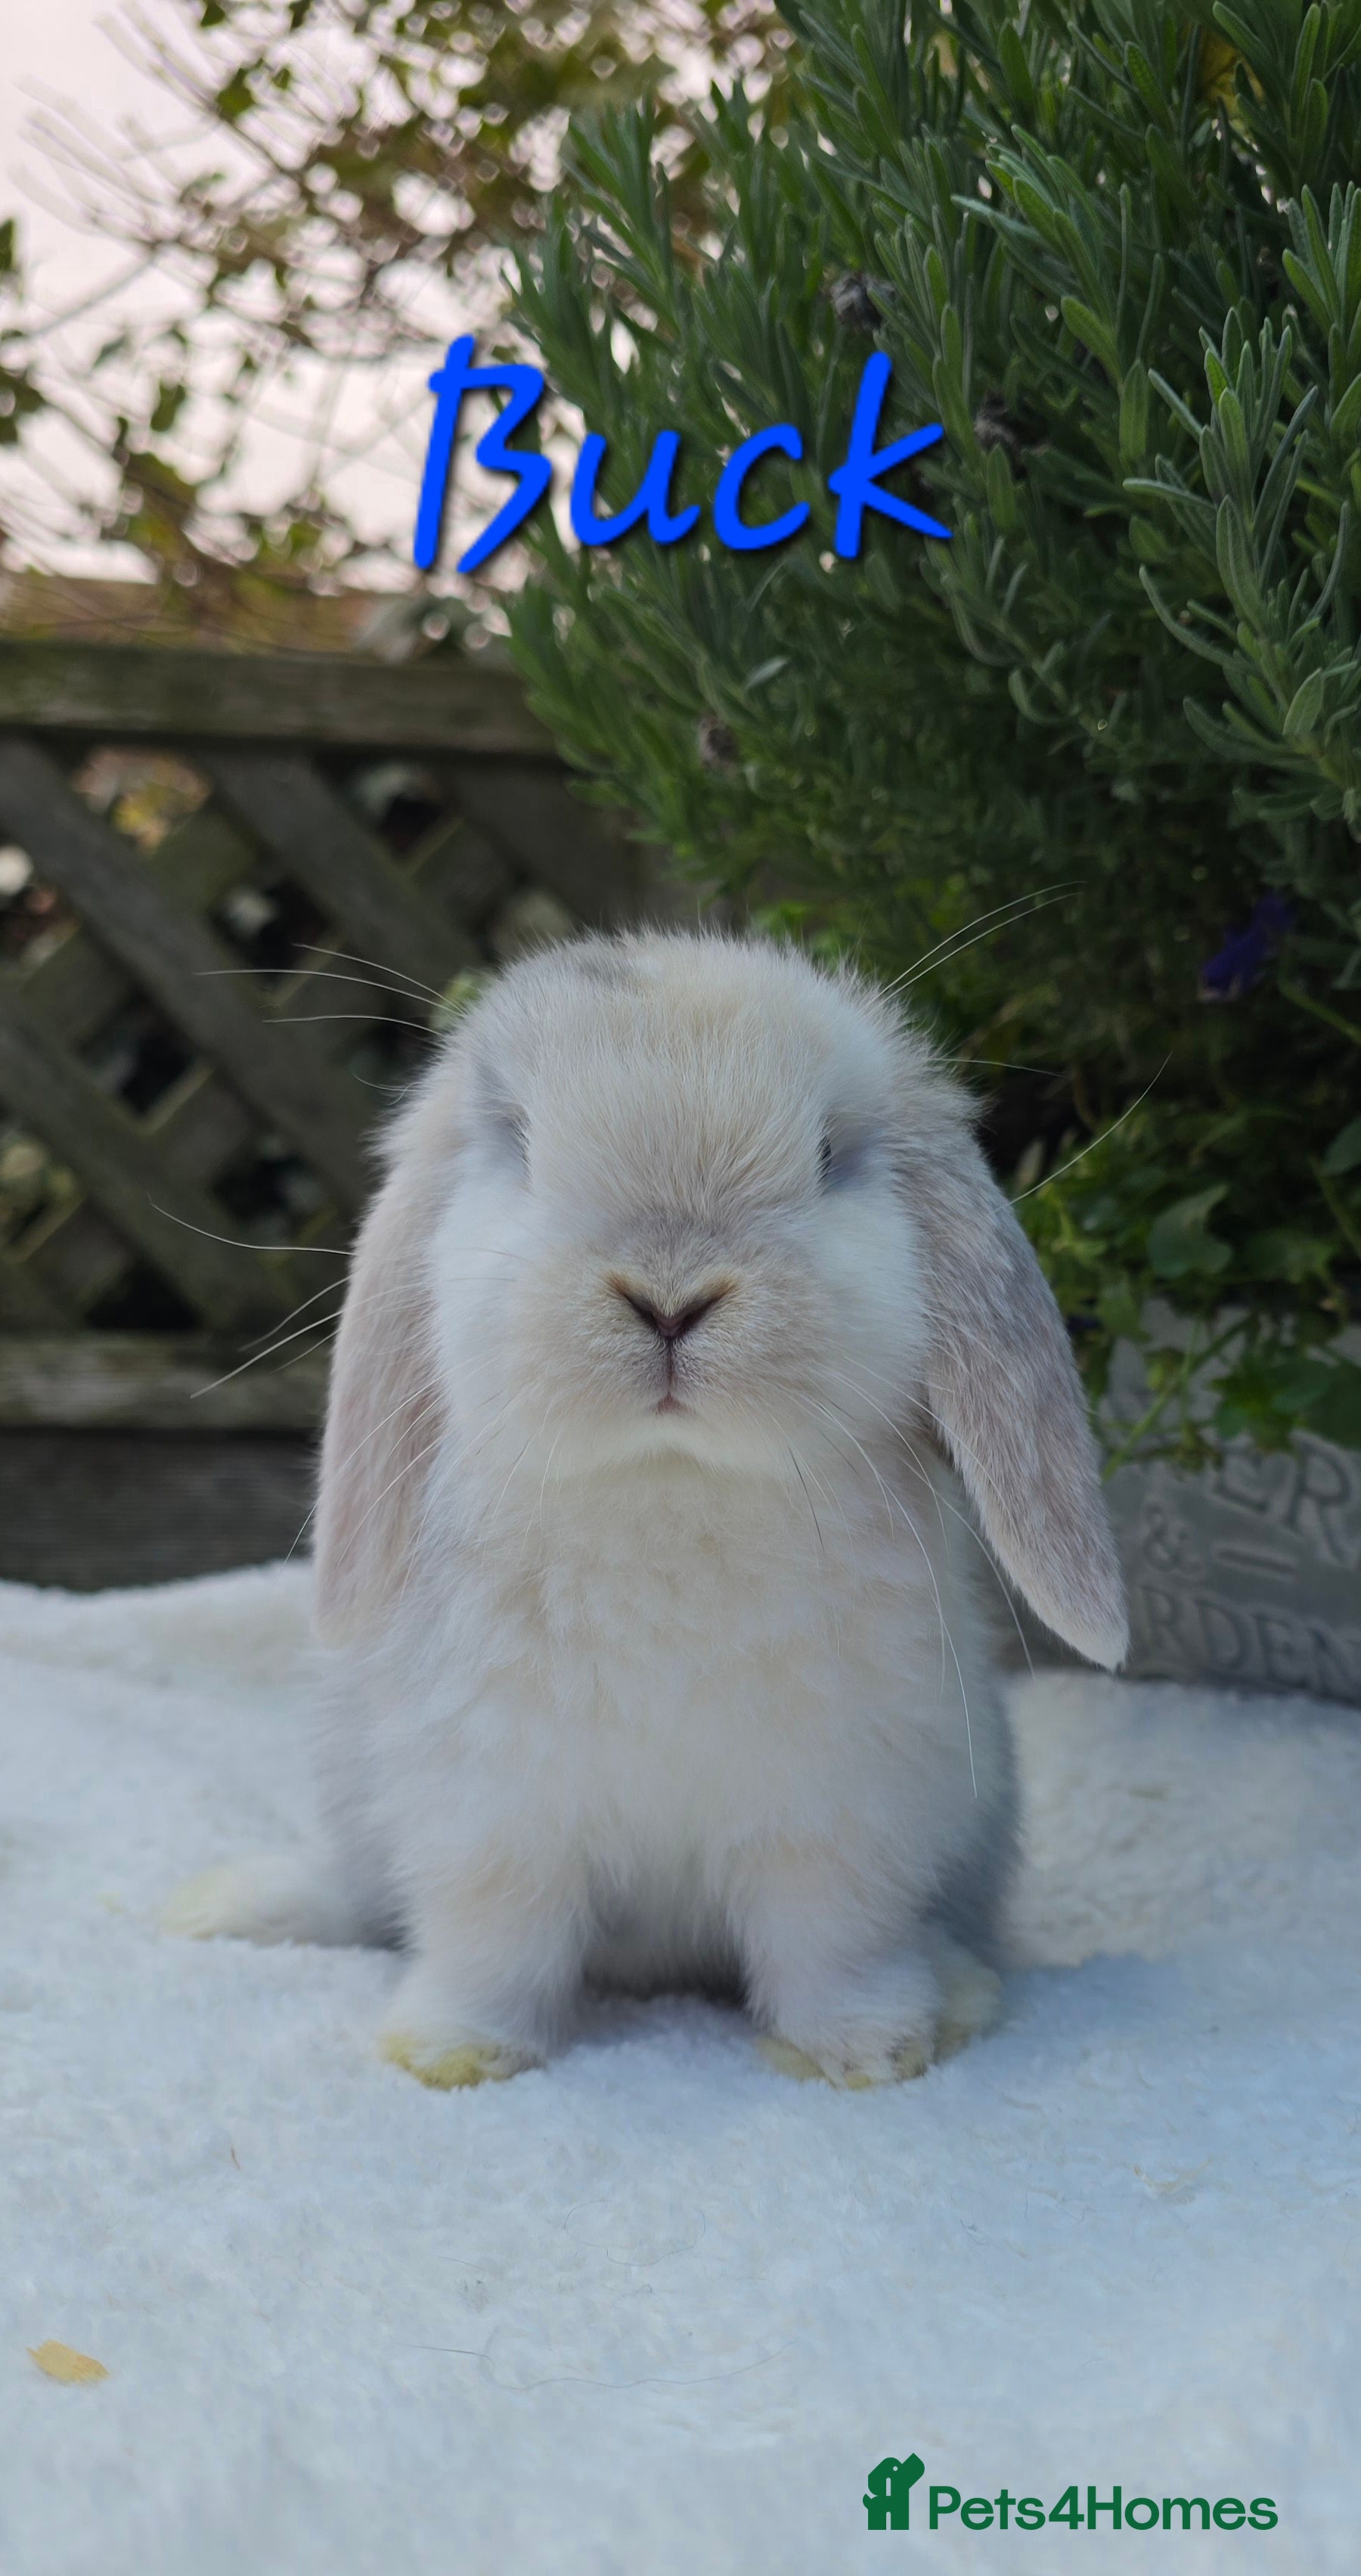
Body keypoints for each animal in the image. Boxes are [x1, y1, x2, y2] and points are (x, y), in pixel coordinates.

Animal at [166, 929, 1127, 2089]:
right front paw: (451, 2052)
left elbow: (833, 1942)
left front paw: (867, 2052)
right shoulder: (493, 1813)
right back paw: (225, 1904)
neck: (668, 1485)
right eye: (522, 1144)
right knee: (359, 1897)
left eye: (828, 1154)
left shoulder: (838, 1820)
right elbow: (494, 1940)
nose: (670, 1296)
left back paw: (960, 1992)